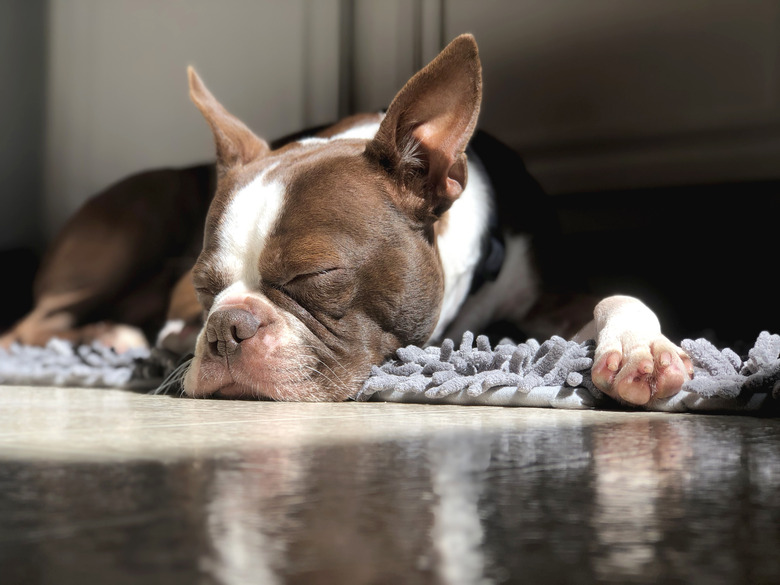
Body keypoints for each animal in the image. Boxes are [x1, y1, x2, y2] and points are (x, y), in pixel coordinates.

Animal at [3, 34, 692, 404]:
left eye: (315, 278)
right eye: (204, 288)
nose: (224, 327)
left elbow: (612, 296)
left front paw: (641, 346)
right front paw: (173, 341)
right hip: (134, 225)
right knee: (28, 325)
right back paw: (114, 336)